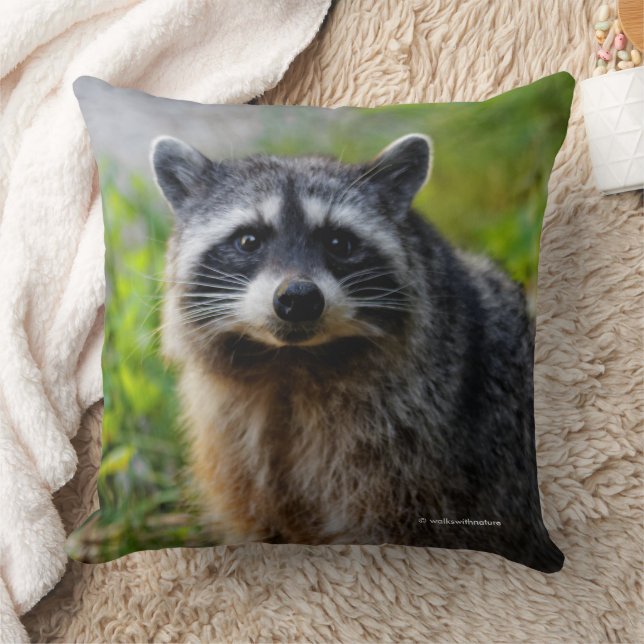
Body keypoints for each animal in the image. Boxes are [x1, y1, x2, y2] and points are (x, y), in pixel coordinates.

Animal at [151, 132, 563, 572]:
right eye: (248, 240)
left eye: (338, 242)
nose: (298, 298)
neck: (290, 364)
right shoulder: (233, 444)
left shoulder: (412, 446)